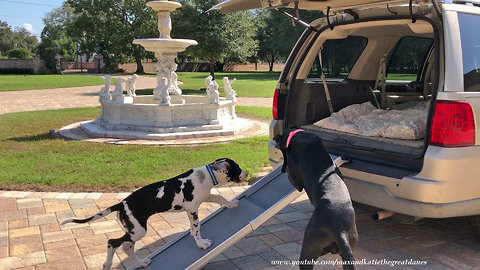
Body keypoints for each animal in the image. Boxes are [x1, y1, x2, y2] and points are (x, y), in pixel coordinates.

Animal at [61, 158, 248, 270]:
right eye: (237, 168)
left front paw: (232, 204)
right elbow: (196, 228)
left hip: (134, 230)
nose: (246, 173)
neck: (205, 176)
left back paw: (142, 263)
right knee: (113, 242)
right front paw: (201, 244)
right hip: (138, 230)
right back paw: (107, 264)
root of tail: (122, 203)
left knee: (126, 247)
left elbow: (220, 197)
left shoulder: (206, 196)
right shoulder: (192, 209)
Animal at [276, 130, 358, 268]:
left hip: (308, 250)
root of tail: (339, 229)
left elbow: (291, 176)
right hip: (347, 252)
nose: (281, 170)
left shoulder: (296, 182)